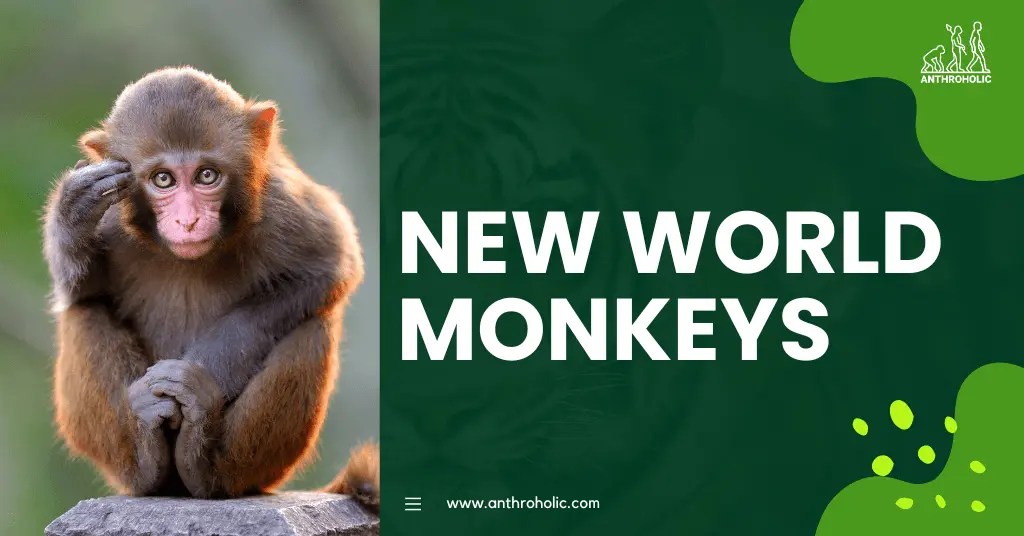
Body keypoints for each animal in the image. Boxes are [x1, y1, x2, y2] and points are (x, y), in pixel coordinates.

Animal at [42, 67, 379, 510]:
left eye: (207, 175)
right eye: (163, 179)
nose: (187, 221)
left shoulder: (281, 203)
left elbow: (329, 267)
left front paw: (196, 380)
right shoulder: (112, 211)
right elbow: (82, 289)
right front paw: (72, 211)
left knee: (313, 327)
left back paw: (207, 463)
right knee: (84, 313)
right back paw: (146, 461)